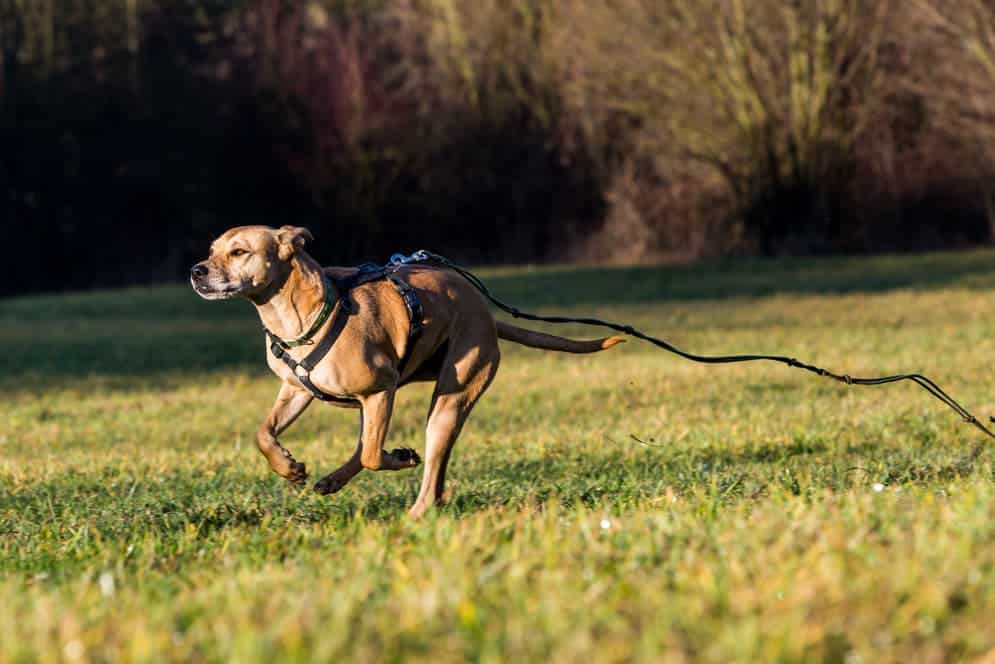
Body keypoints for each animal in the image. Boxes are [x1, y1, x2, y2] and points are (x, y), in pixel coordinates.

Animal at [191, 226, 620, 516]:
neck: (297, 313)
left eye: (239, 251)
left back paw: (414, 510)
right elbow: (263, 433)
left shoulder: (382, 389)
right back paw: (339, 479)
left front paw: (398, 458)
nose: (197, 271)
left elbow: (372, 456)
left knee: (414, 467)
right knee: (381, 452)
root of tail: (487, 316)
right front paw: (287, 466)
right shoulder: (297, 391)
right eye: (212, 250)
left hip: (447, 403)